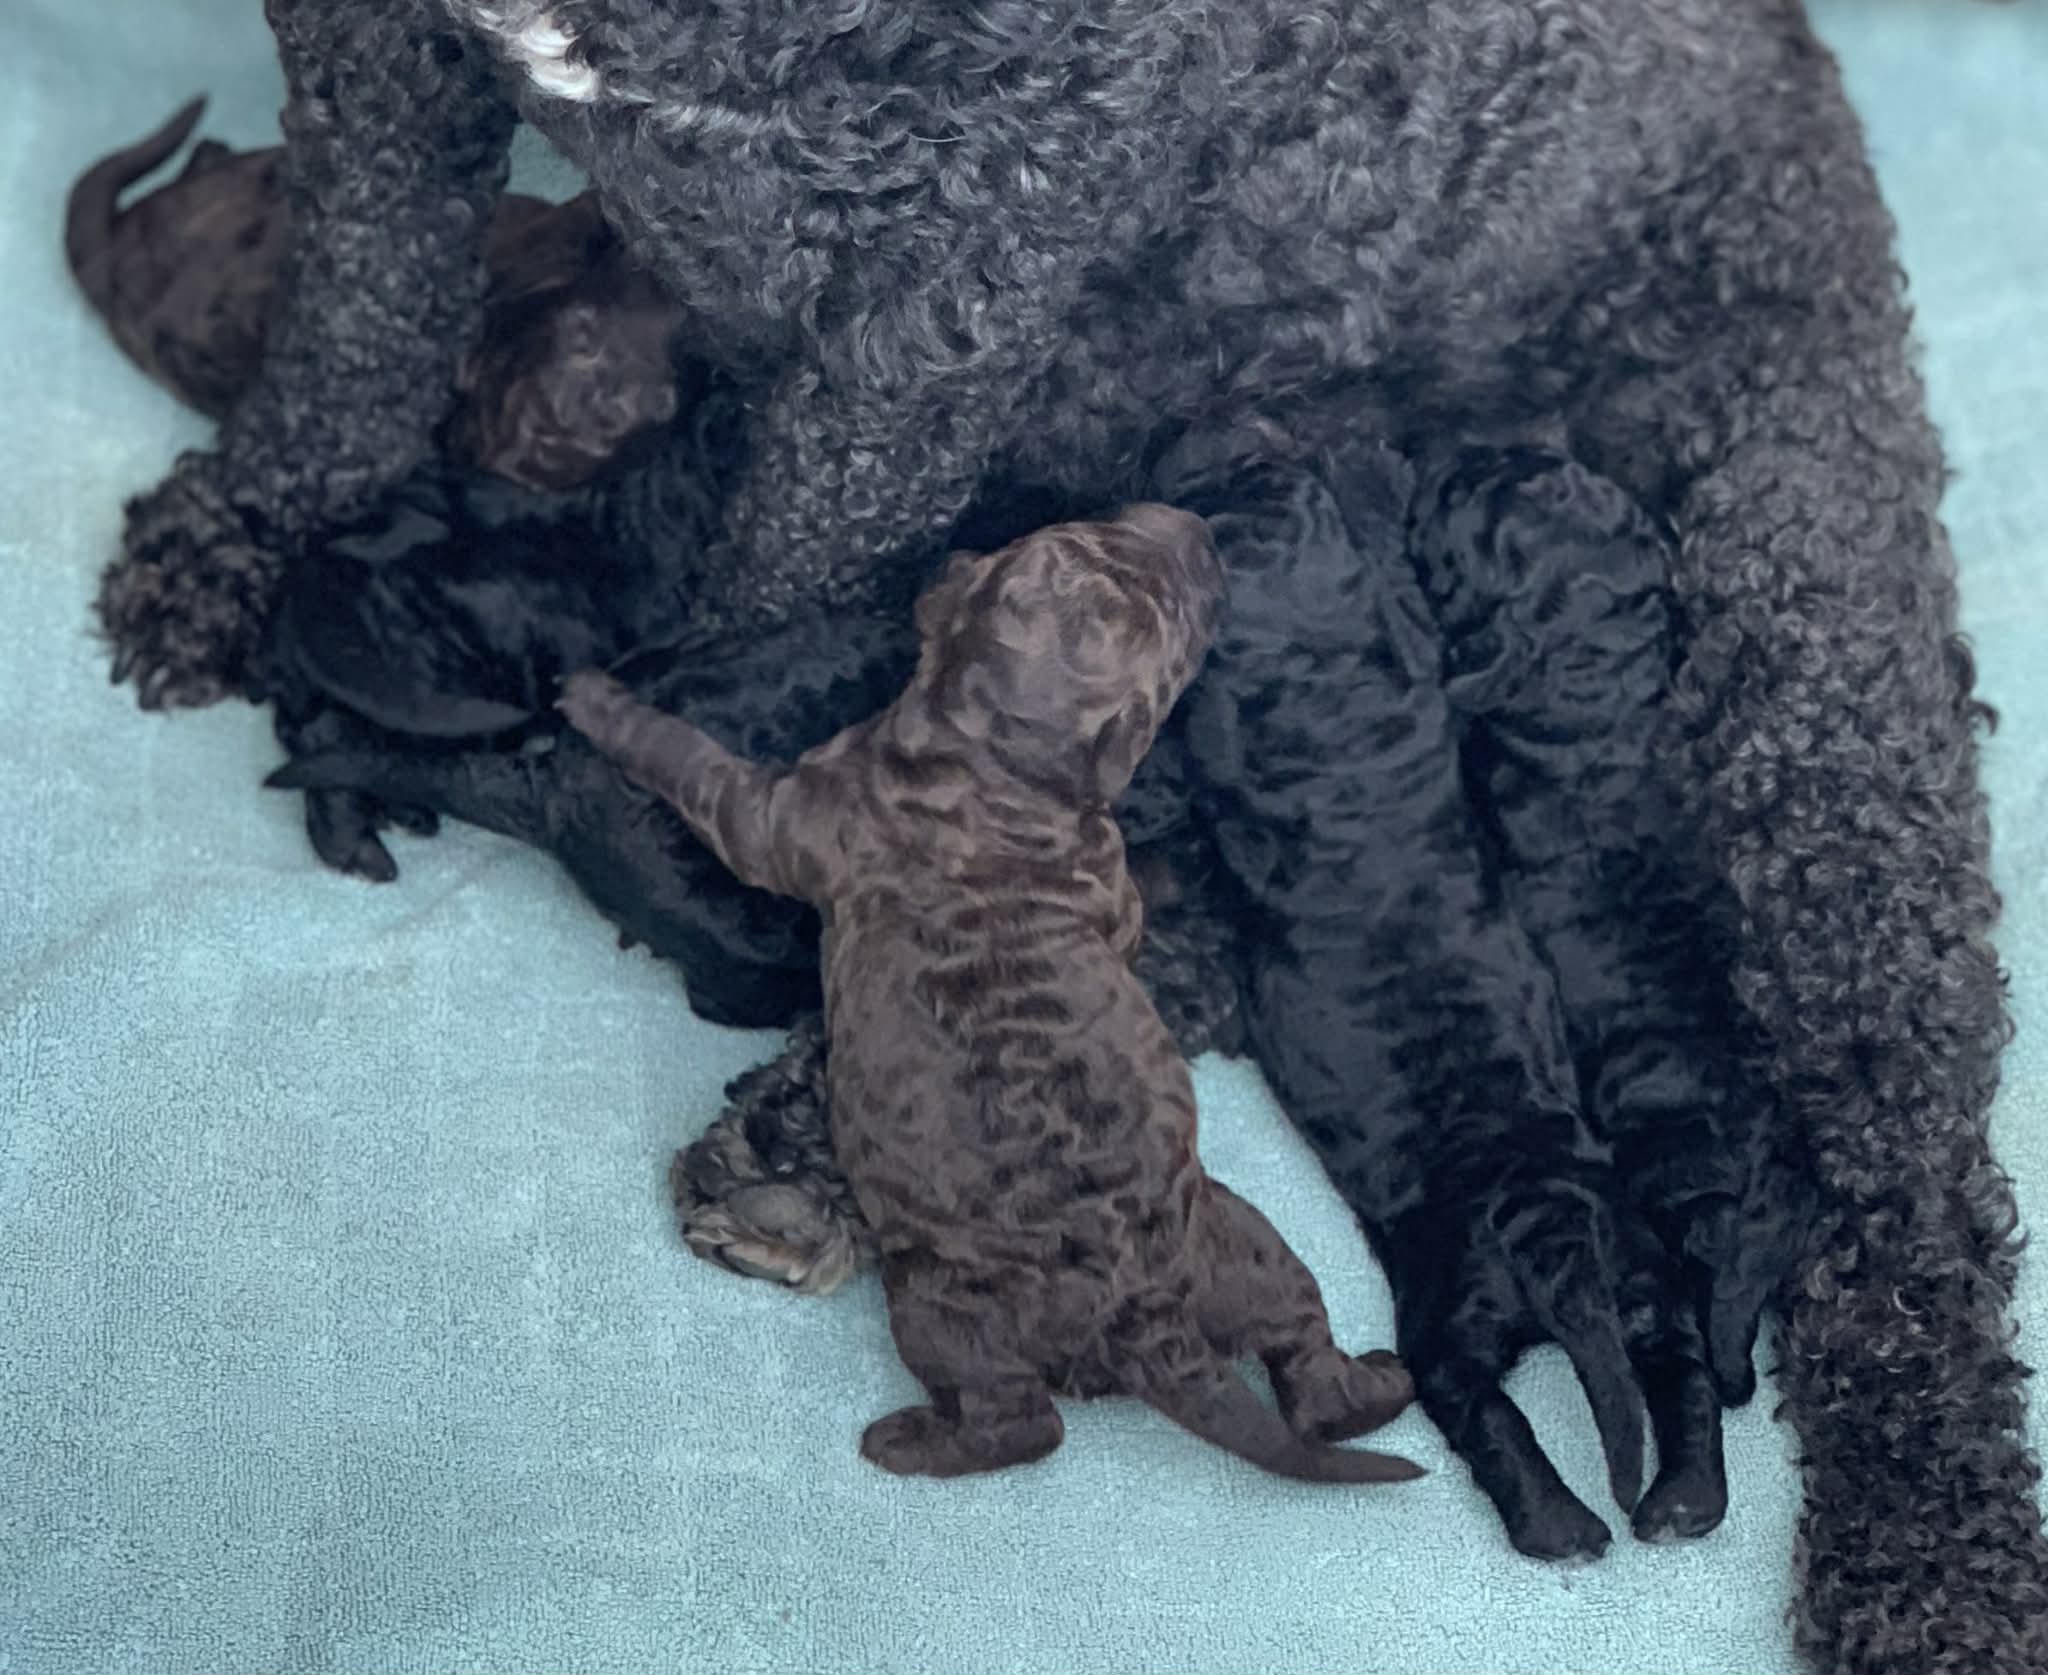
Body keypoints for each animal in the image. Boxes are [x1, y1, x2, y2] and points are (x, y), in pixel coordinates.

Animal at [557, 506, 1423, 1482]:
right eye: (1099, 531)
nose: (1196, 529)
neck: (987, 758)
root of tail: (1152, 1328)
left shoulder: (785, 815)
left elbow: (695, 765)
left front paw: (595, 702)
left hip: (944, 1307)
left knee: (1018, 1419)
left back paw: (900, 1428)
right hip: (1246, 1246)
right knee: (1298, 1341)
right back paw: (1374, 1386)